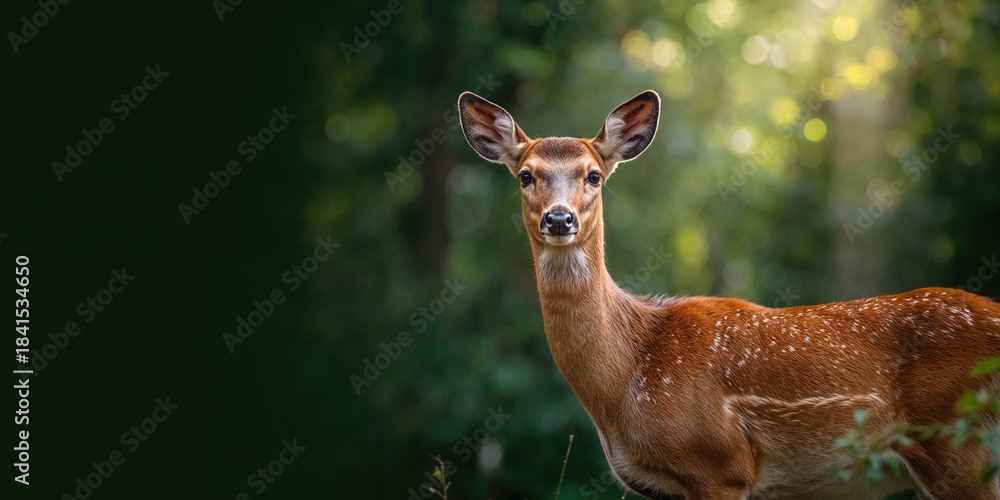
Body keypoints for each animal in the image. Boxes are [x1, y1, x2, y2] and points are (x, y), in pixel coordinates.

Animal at [457, 89, 1000, 499]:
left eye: (593, 174)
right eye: (526, 176)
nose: (559, 218)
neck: (628, 372)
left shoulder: (719, 464)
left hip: (962, 441)